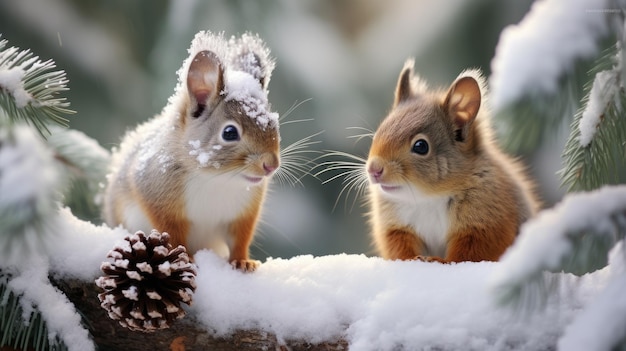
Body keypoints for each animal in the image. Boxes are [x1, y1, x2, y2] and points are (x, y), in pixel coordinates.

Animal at [366, 59, 536, 264]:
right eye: (377, 134)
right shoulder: (396, 226)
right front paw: (412, 259)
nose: (374, 170)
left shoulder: (487, 221)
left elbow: (470, 253)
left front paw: (438, 261)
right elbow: (398, 248)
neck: (427, 198)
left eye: (421, 146)